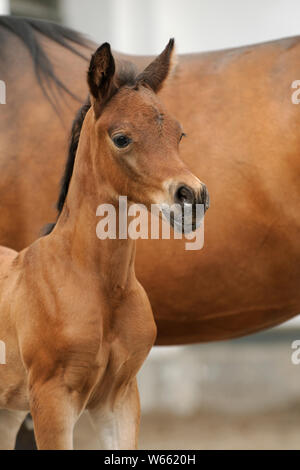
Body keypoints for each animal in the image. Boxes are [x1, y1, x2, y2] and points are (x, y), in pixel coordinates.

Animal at [0, 40, 206, 448]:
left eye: (179, 134)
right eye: (121, 137)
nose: (193, 197)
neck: (99, 285)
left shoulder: (119, 398)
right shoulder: (52, 401)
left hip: (8, 411)